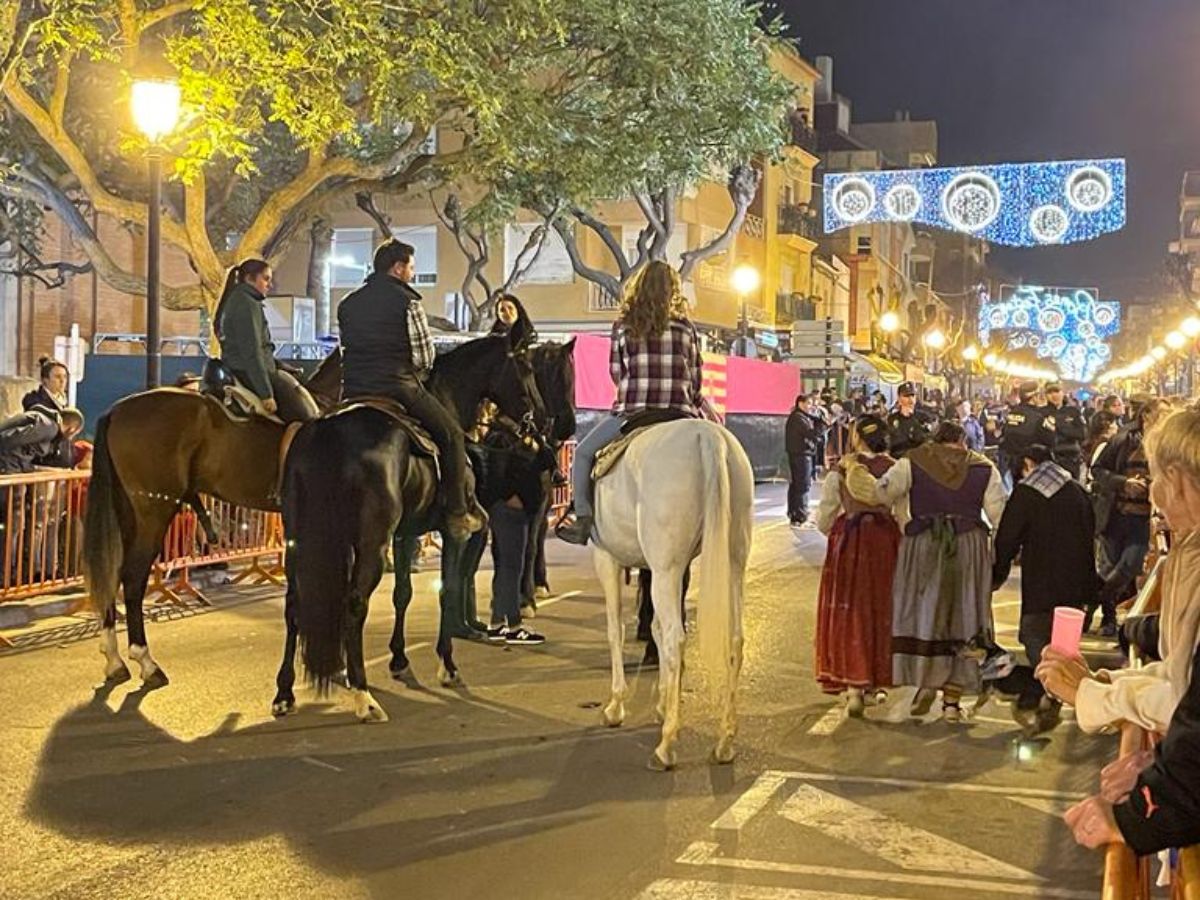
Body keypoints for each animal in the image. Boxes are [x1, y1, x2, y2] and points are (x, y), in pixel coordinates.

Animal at [83, 355, 343, 686]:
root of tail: (116, 410)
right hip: (154, 513)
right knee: (133, 577)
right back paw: (146, 661)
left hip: (128, 514)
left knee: (114, 574)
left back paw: (114, 658)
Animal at [274, 336, 542, 724]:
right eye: (526, 367)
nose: (536, 419)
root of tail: (330, 430)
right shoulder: (454, 533)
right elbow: (447, 589)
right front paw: (448, 665)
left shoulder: (405, 534)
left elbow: (402, 593)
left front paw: (399, 659)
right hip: (371, 542)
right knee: (354, 603)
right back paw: (363, 695)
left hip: (299, 540)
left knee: (294, 602)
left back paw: (284, 692)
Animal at [595, 420, 753, 772]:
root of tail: (707, 436)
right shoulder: (658, 569)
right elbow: (653, 628)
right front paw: (664, 703)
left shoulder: (607, 557)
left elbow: (615, 630)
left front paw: (616, 705)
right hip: (732, 561)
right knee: (733, 639)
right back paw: (724, 742)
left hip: (666, 568)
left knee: (675, 639)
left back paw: (666, 746)